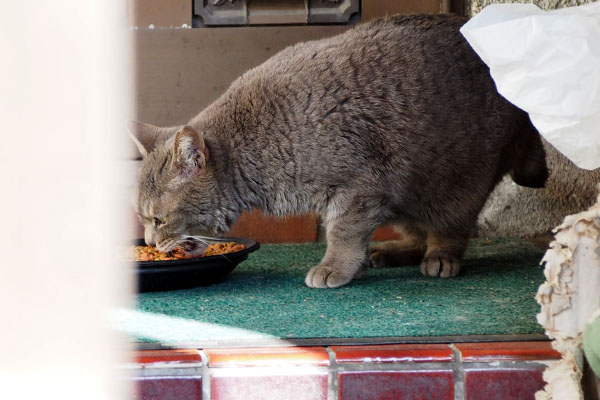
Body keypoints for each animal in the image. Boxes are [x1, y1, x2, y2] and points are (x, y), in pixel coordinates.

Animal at [131, 14, 548, 288]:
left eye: (158, 219)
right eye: (144, 219)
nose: (150, 243)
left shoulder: (361, 186)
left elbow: (342, 232)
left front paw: (336, 266)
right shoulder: (366, 195)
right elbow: (349, 233)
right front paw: (358, 264)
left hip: (455, 182)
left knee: (450, 230)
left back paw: (440, 258)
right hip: (407, 197)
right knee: (415, 234)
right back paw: (390, 252)